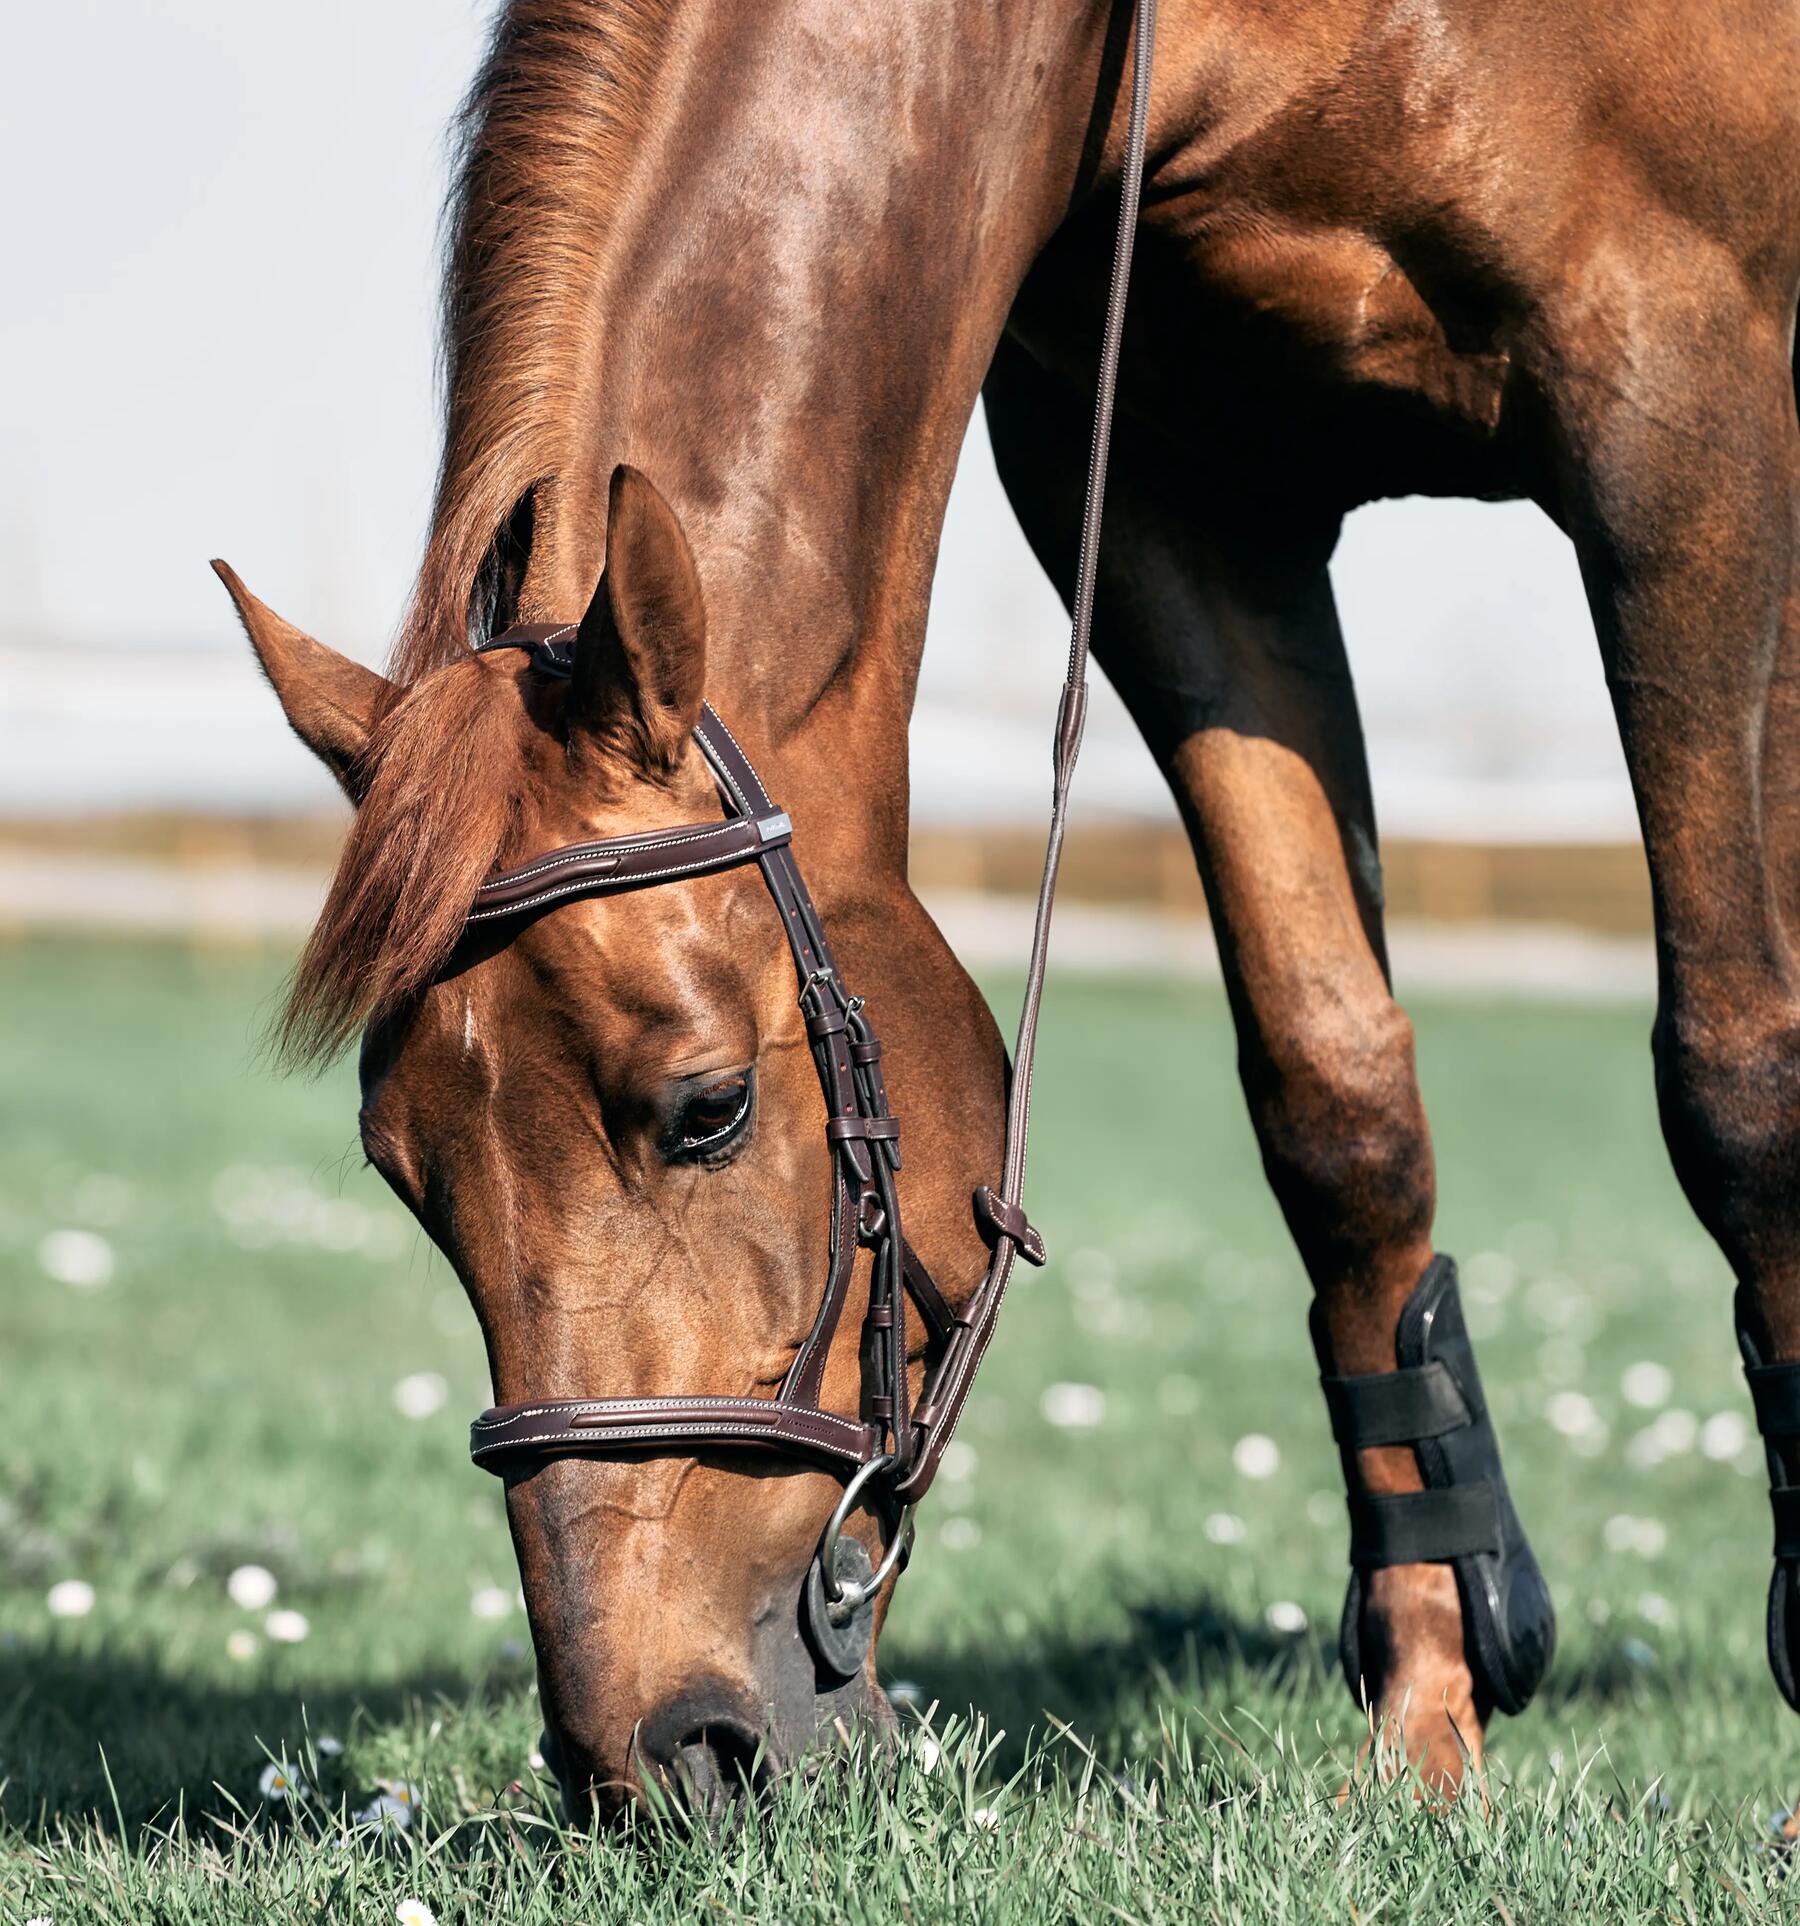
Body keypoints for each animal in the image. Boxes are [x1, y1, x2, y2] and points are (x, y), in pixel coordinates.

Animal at [221, 0, 1800, 1802]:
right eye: (397, 1164)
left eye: (704, 1107)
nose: (660, 1757)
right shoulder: (1185, 498)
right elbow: (1338, 1100)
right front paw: (1427, 1721)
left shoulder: (1676, 400)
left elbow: (1739, 1077)